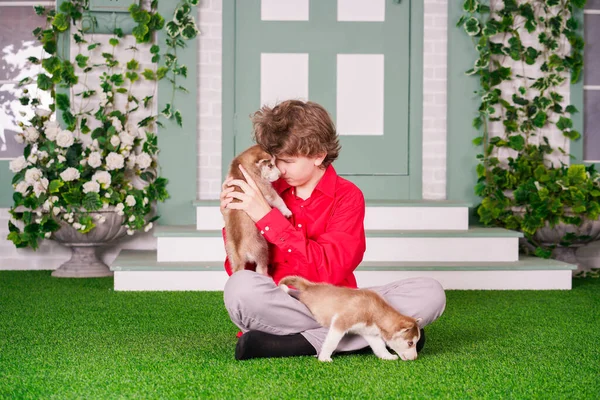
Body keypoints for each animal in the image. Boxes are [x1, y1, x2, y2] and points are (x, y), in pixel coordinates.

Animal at [224, 146, 292, 276]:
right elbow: (278, 199)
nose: (280, 174)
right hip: (262, 248)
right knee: (261, 267)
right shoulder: (265, 188)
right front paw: (286, 211)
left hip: (232, 256)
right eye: (270, 165)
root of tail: (240, 252)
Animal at [280, 276, 422, 362]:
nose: (415, 358)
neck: (375, 311)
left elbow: (380, 346)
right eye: (410, 343)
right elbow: (331, 342)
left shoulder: (370, 333)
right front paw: (324, 357)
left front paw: (387, 356)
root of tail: (310, 286)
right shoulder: (340, 322)